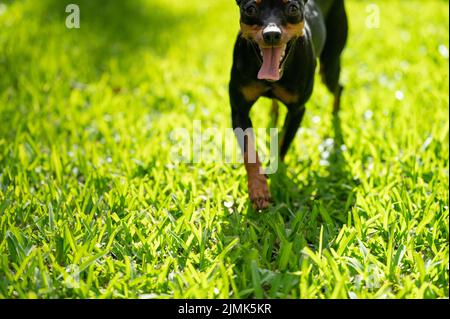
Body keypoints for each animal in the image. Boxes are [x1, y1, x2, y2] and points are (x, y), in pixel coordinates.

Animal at [229, 0, 348, 210]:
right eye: (250, 9)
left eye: (292, 8)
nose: (271, 34)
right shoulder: (239, 110)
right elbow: (250, 153)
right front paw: (258, 189)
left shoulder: (297, 110)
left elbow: (283, 143)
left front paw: (274, 175)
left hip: (330, 65)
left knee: (338, 87)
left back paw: (335, 117)